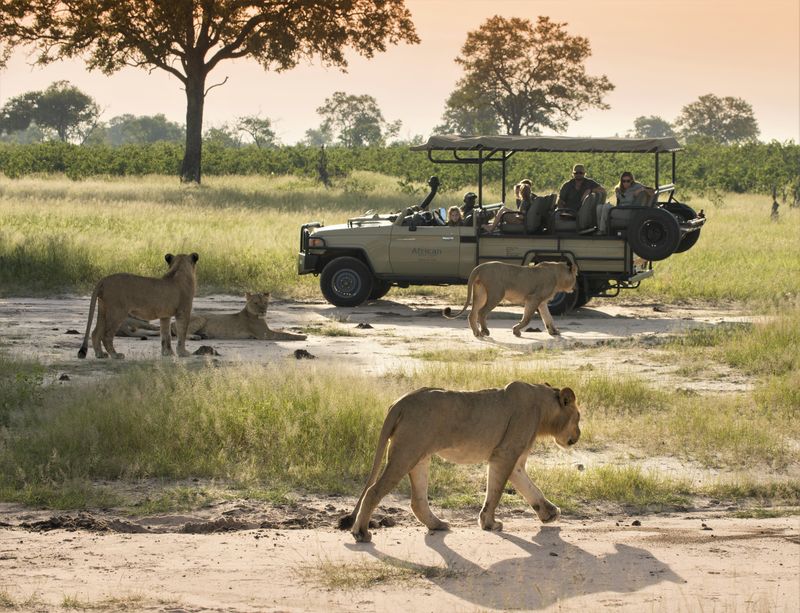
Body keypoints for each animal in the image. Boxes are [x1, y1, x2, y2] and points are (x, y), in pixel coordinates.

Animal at [172, 292, 307, 341]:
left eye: (265, 303)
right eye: (256, 303)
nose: (263, 310)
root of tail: (172, 323)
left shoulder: (267, 331)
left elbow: (282, 330)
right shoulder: (265, 334)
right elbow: (285, 334)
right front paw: (302, 337)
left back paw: (204, 335)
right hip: (201, 318)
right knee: (182, 334)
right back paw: (195, 337)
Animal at [338, 381, 581, 543]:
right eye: (578, 417)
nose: (578, 436)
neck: (543, 406)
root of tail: (400, 401)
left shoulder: (515, 461)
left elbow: (530, 488)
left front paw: (550, 513)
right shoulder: (504, 454)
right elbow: (495, 493)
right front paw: (489, 523)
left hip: (419, 456)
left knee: (417, 500)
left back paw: (438, 524)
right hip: (405, 453)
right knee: (373, 490)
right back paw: (361, 533)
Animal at [444, 260, 577, 337]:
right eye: (575, 277)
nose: (575, 287)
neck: (557, 275)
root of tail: (480, 267)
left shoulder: (542, 302)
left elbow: (548, 318)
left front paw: (554, 332)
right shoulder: (533, 298)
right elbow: (527, 319)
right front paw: (516, 331)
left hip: (481, 293)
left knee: (472, 313)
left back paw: (476, 333)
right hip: (496, 294)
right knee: (481, 312)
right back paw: (485, 331)